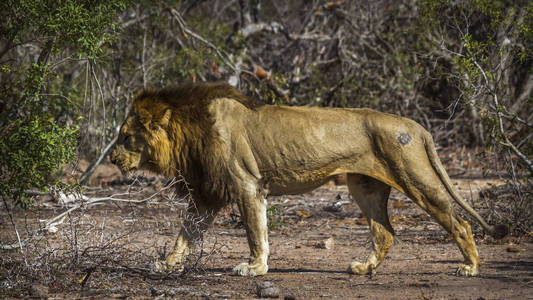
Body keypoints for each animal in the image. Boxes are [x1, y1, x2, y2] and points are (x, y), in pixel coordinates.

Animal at [110, 81, 504, 276]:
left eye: (126, 137)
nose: (112, 158)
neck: (187, 132)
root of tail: (416, 125)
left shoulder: (246, 184)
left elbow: (255, 232)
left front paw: (255, 268)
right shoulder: (208, 194)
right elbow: (185, 234)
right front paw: (166, 264)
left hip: (416, 179)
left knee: (460, 224)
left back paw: (471, 267)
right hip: (364, 187)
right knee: (385, 234)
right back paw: (364, 268)